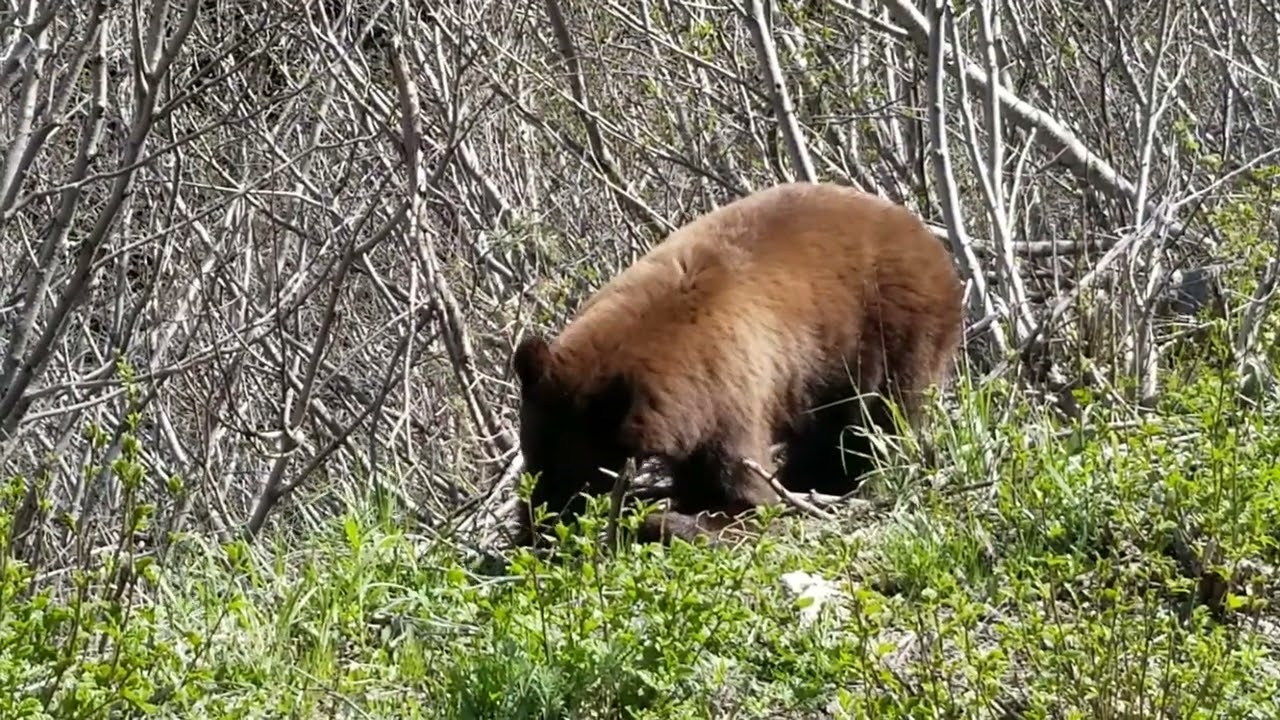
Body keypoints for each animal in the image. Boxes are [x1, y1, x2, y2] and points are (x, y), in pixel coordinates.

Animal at [511, 181, 964, 546]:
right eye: (533, 454)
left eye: (580, 473)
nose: (539, 525)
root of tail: (928, 238)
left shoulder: (727, 393)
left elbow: (740, 493)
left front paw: (668, 520)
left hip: (897, 327)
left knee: (883, 417)